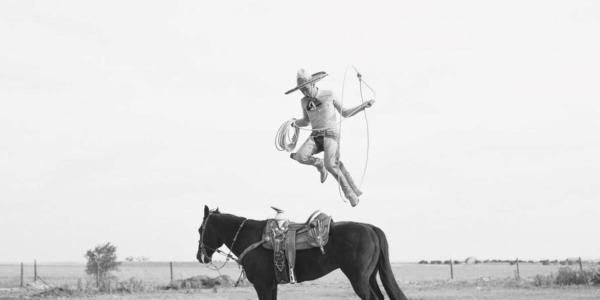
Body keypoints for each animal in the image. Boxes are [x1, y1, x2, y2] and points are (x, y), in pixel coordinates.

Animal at [197, 206, 408, 300]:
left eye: (200, 230)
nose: (200, 257)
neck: (251, 237)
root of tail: (370, 228)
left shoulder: (261, 285)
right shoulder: (271, 285)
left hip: (359, 279)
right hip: (370, 277)